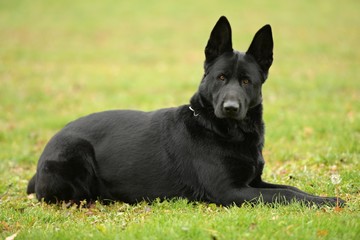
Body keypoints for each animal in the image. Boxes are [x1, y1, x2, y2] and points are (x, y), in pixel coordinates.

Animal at [27, 15, 344, 206]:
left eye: (246, 81)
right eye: (220, 78)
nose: (230, 108)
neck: (219, 129)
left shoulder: (253, 182)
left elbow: (291, 190)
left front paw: (324, 197)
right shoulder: (232, 191)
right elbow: (283, 195)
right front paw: (329, 202)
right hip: (77, 154)